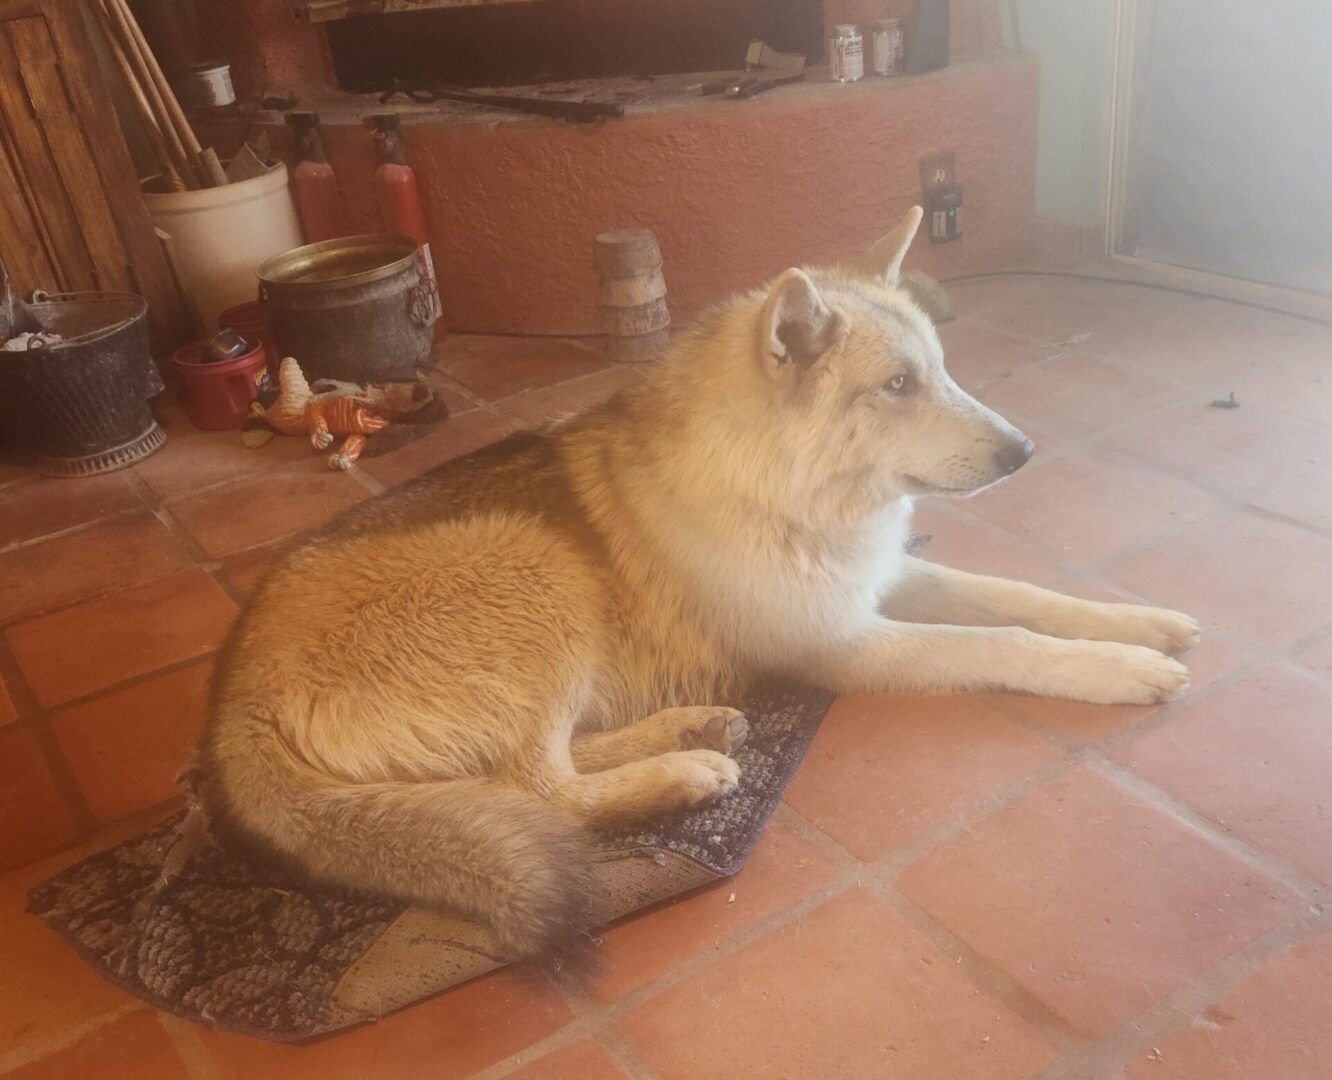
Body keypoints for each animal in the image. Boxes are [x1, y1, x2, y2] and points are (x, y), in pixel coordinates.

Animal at [202, 209, 1204, 964]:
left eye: (943, 371)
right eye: (897, 385)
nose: (1025, 452)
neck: (774, 485)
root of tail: (231, 704)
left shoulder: (879, 581)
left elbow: (1024, 598)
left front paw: (1136, 622)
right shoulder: (850, 642)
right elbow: (1003, 640)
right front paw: (1114, 669)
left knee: (544, 763)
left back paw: (691, 729)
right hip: (542, 565)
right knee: (539, 788)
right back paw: (680, 773)